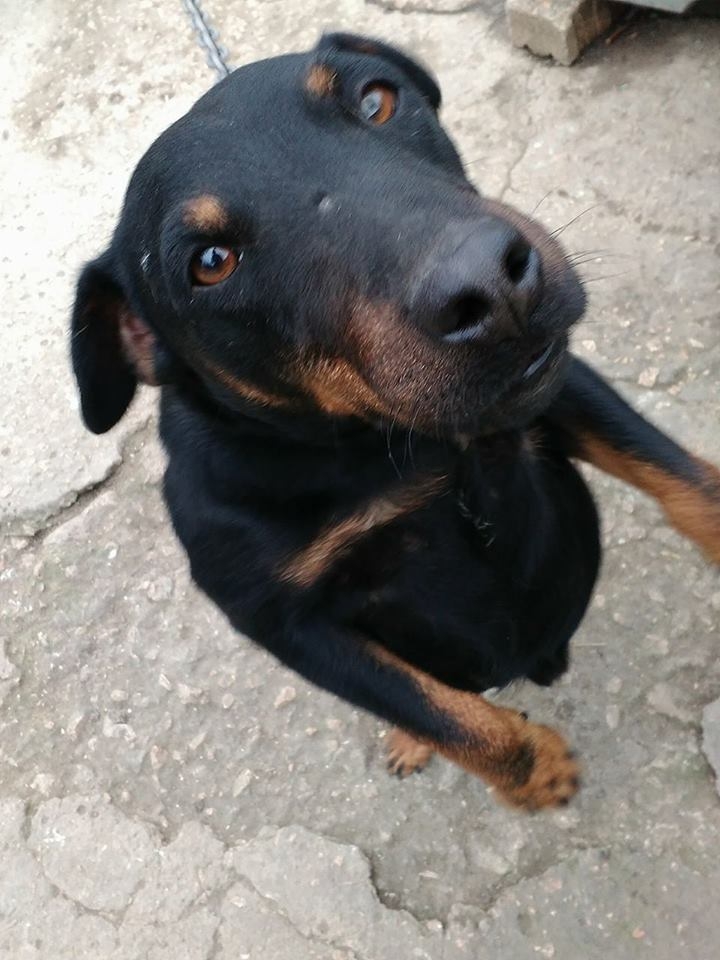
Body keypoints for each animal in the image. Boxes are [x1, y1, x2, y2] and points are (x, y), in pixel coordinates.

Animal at [70, 33, 720, 811]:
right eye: (211, 262)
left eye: (377, 99)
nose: (493, 288)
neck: (389, 444)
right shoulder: (281, 620)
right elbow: (449, 718)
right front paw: (536, 774)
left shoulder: (554, 389)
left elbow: (685, 479)